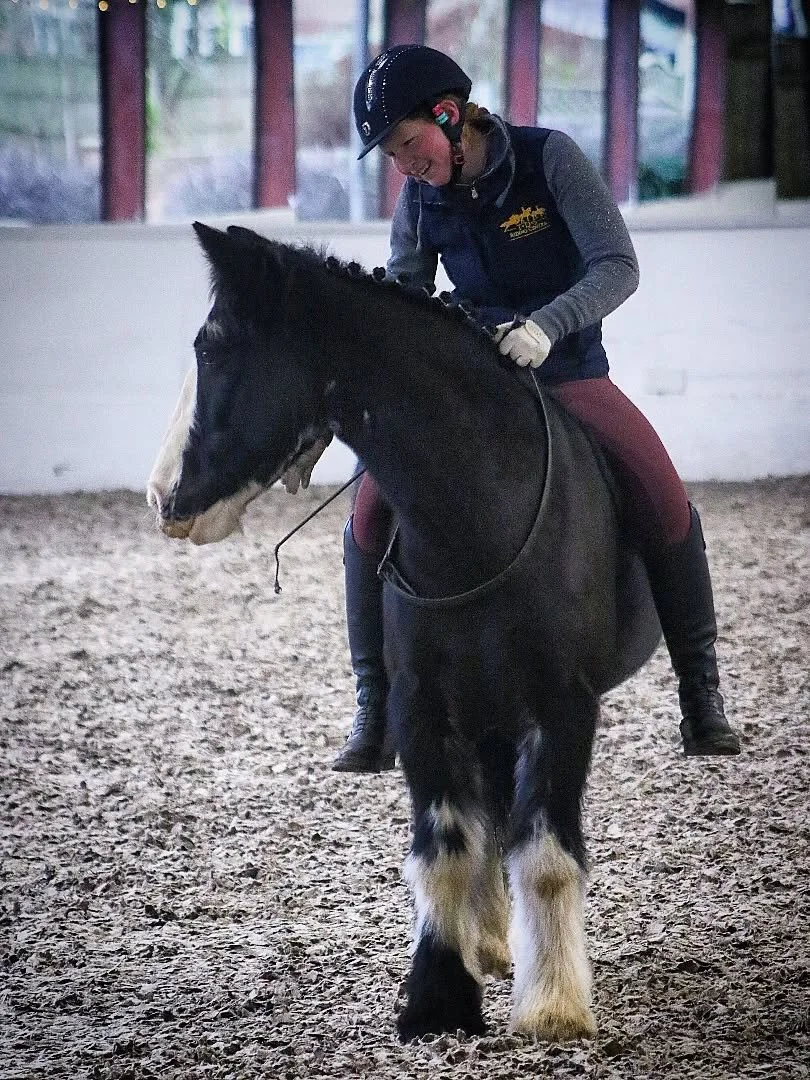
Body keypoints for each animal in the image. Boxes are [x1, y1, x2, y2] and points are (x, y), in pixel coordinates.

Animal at [147, 222, 661, 1042]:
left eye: (214, 347)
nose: (162, 497)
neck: (479, 513)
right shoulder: (422, 703)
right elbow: (445, 849)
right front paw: (438, 997)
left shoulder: (564, 705)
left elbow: (546, 855)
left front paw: (553, 1005)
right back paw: (488, 940)